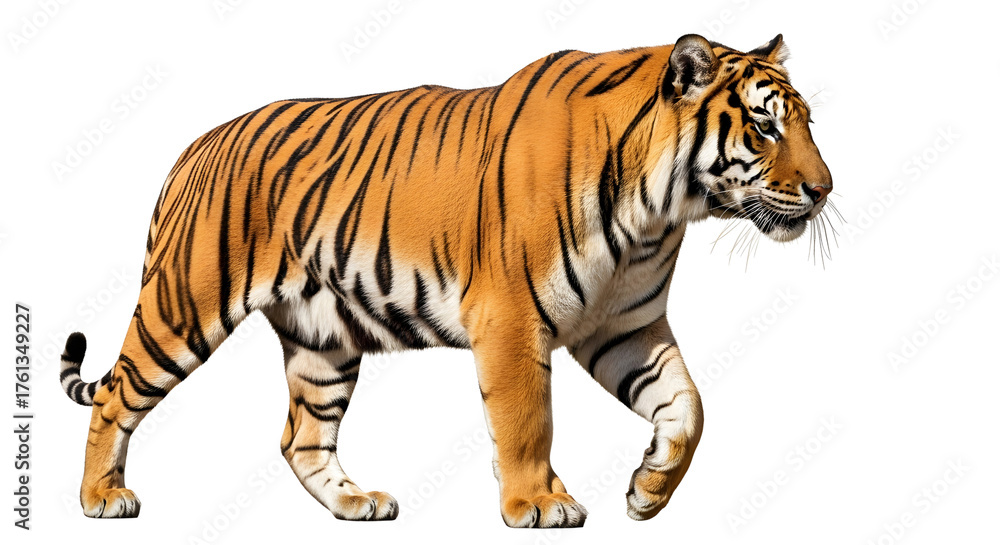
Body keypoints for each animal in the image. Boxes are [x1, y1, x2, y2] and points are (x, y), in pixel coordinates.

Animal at [58, 33, 832, 527]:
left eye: (806, 123)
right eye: (764, 126)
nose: (825, 190)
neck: (660, 212)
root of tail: (193, 148)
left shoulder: (626, 326)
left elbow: (689, 408)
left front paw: (649, 491)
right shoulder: (513, 319)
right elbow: (528, 419)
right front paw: (539, 504)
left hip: (323, 342)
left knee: (300, 437)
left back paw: (356, 504)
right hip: (183, 307)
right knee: (117, 396)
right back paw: (102, 497)